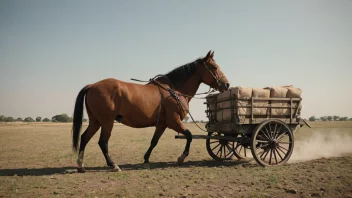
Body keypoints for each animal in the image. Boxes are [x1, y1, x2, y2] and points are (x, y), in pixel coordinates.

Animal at [71, 50, 231, 172]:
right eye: (214, 66)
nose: (226, 84)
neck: (174, 90)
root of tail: (92, 85)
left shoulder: (162, 125)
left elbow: (154, 141)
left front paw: (146, 159)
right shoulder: (173, 121)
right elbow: (189, 135)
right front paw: (181, 157)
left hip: (96, 122)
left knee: (84, 138)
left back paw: (80, 165)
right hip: (107, 122)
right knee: (103, 142)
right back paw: (113, 165)